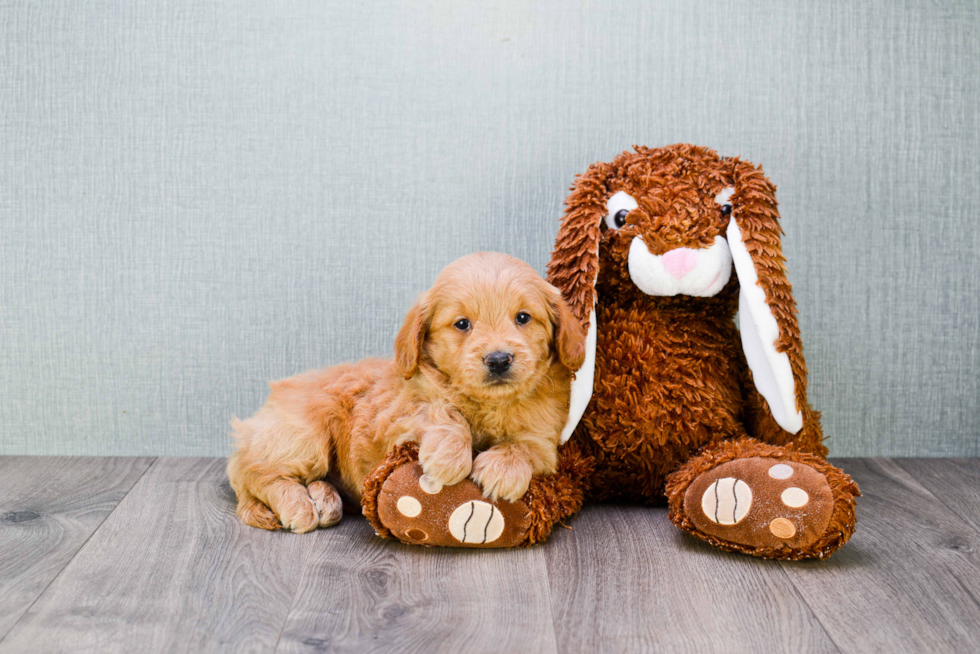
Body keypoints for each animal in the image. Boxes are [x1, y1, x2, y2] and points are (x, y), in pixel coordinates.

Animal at [228, 251, 580, 532]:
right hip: (303, 434)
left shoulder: (547, 438)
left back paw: (324, 498)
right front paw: (449, 456)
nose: (498, 359)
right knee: (255, 473)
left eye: (523, 317)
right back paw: (298, 505)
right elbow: (440, 410)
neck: (489, 404)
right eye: (462, 324)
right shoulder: (393, 419)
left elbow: (526, 445)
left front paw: (502, 469)